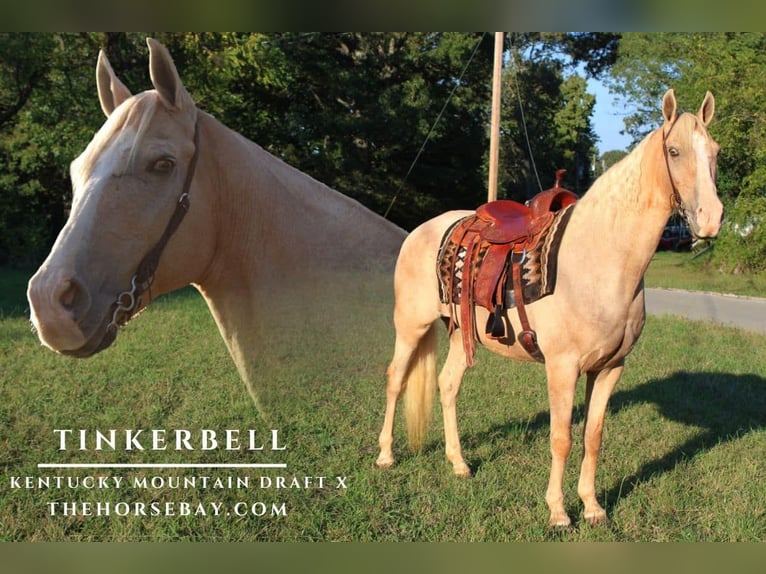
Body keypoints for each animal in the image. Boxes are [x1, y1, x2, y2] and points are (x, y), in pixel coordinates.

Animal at [375, 89, 723, 527]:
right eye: (674, 151)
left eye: (715, 151)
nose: (711, 219)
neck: (601, 257)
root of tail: (421, 230)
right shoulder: (563, 366)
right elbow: (562, 438)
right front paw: (558, 510)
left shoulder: (610, 367)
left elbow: (593, 436)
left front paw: (592, 506)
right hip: (411, 326)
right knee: (395, 379)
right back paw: (385, 455)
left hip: (460, 334)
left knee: (447, 385)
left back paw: (459, 464)